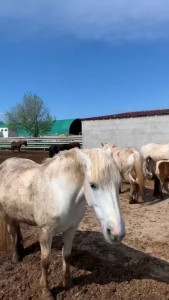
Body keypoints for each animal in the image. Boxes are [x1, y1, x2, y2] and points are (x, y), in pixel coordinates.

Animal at [0, 148, 125, 300]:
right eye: (93, 185)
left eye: (118, 185)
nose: (117, 233)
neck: (60, 194)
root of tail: (5, 163)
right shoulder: (46, 232)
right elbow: (45, 261)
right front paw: (46, 291)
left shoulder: (71, 230)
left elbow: (67, 255)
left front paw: (67, 282)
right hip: (6, 214)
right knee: (12, 234)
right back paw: (16, 257)